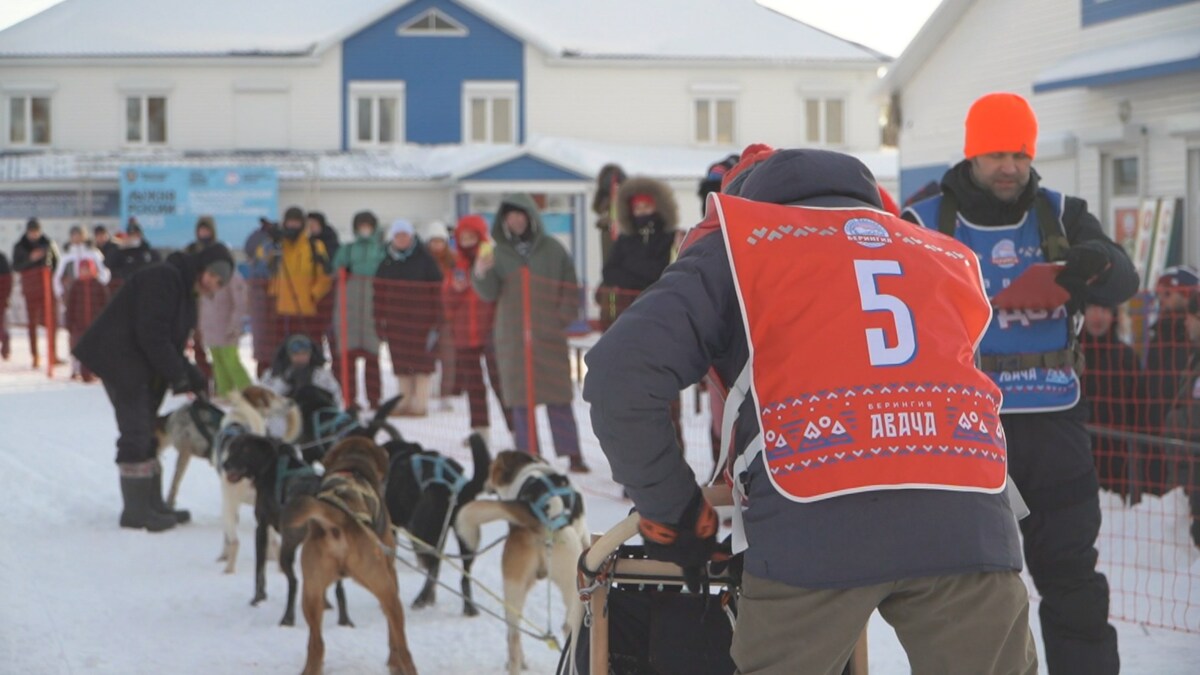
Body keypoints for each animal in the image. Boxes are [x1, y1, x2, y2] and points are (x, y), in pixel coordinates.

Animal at [280, 437, 417, 672]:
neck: (353, 466)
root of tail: (338, 519)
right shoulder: (390, 575)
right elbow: (393, 634)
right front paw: (393, 662)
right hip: (385, 587)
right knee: (401, 641)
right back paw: (407, 665)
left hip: (312, 593)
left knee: (317, 645)